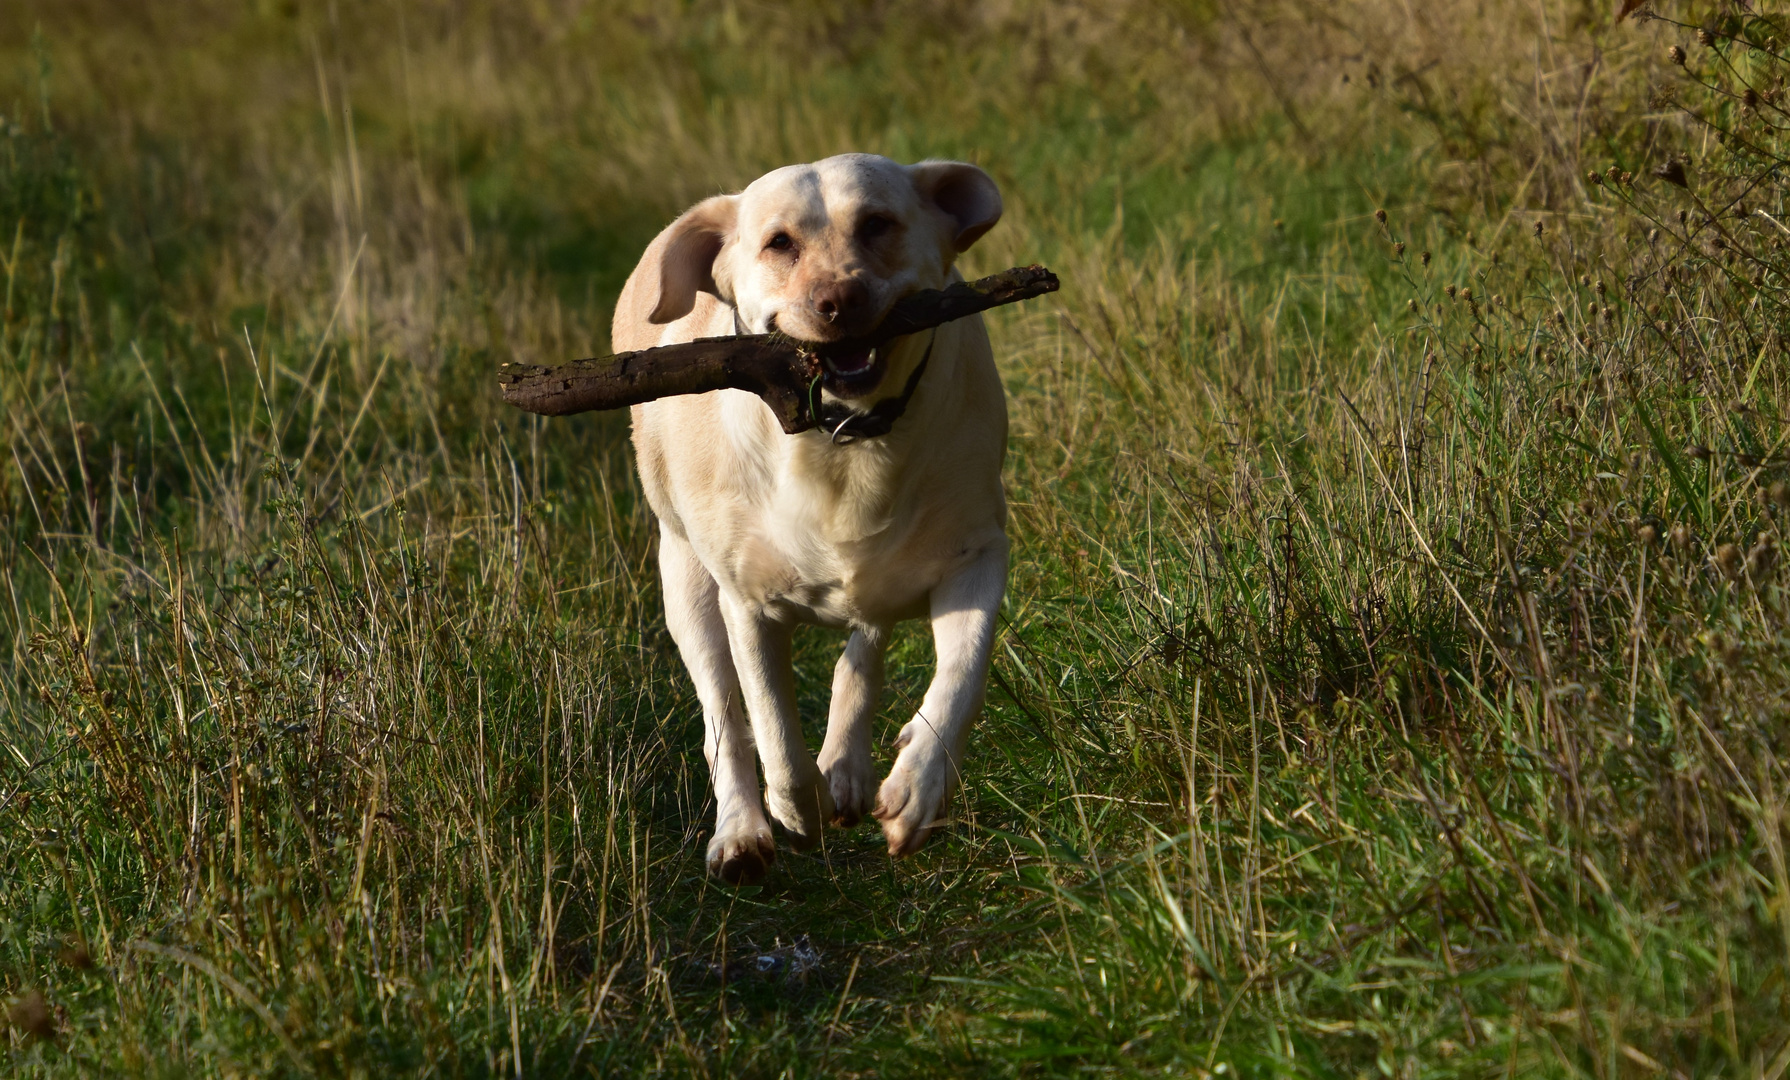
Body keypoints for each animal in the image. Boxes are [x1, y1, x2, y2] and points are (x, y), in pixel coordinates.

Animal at [612, 152, 1009, 884]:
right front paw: (798, 811)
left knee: (864, 646)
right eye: (778, 244)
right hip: (685, 581)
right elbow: (772, 729)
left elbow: (961, 674)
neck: (844, 435)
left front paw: (916, 788)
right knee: (723, 715)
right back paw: (743, 830)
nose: (840, 300)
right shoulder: (747, 604)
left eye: (877, 223)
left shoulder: (978, 553)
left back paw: (848, 768)